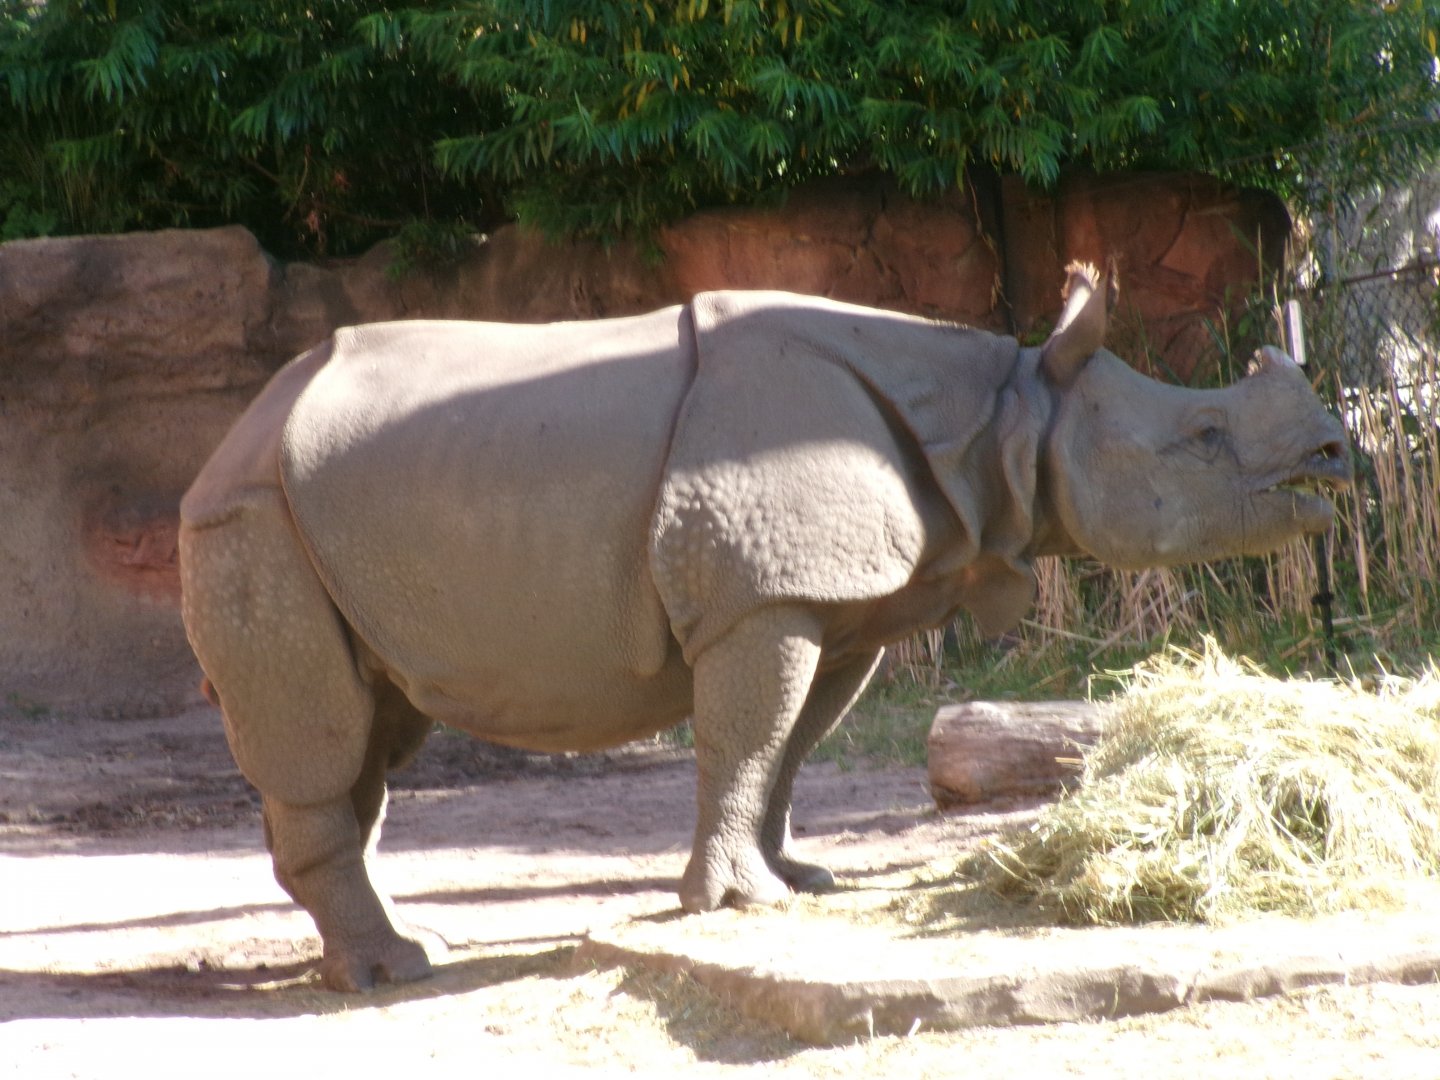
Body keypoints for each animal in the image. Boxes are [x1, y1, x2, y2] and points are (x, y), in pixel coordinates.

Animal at [179, 266, 1350, 990]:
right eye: (1203, 438)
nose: (1336, 458)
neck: (1010, 412)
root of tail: (231, 434)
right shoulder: (765, 595)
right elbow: (745, 738)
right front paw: (739, 903)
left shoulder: (830, 605)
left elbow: (790, 743)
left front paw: (796, 883)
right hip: (252, 519)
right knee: (324, 737)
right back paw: (395, 971)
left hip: (317, 511)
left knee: (374, 731)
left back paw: (401, 950)